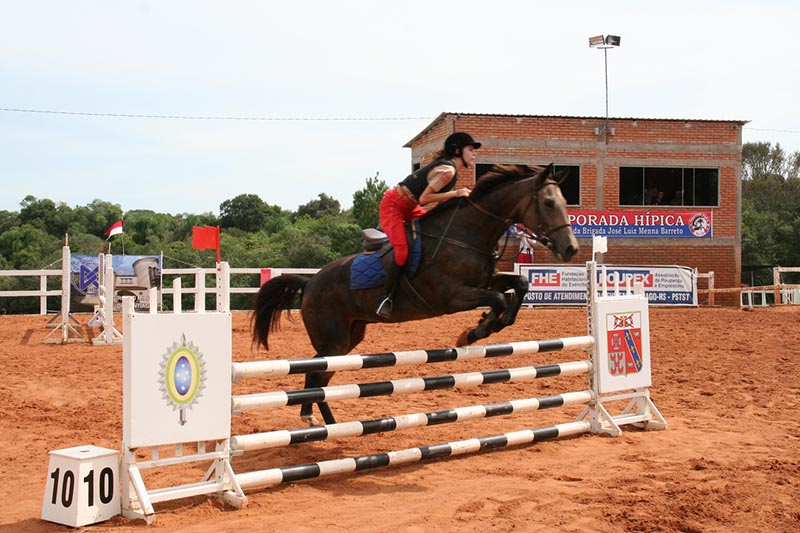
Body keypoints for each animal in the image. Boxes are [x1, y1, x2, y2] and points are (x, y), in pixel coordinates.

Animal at [253, 162, 580, 424]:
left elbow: (519, 285)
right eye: (548, 203)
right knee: (314, 373)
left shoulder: (485, 281)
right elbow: (499, 299)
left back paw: (328, 425)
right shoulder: (451, 296)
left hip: (349, 338)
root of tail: (310, 283)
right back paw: (311, 419)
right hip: (333, 340)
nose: (571, 249)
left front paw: (491, 324)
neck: (466, 233)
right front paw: (474, 332)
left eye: (565, 201)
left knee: (320, 375)